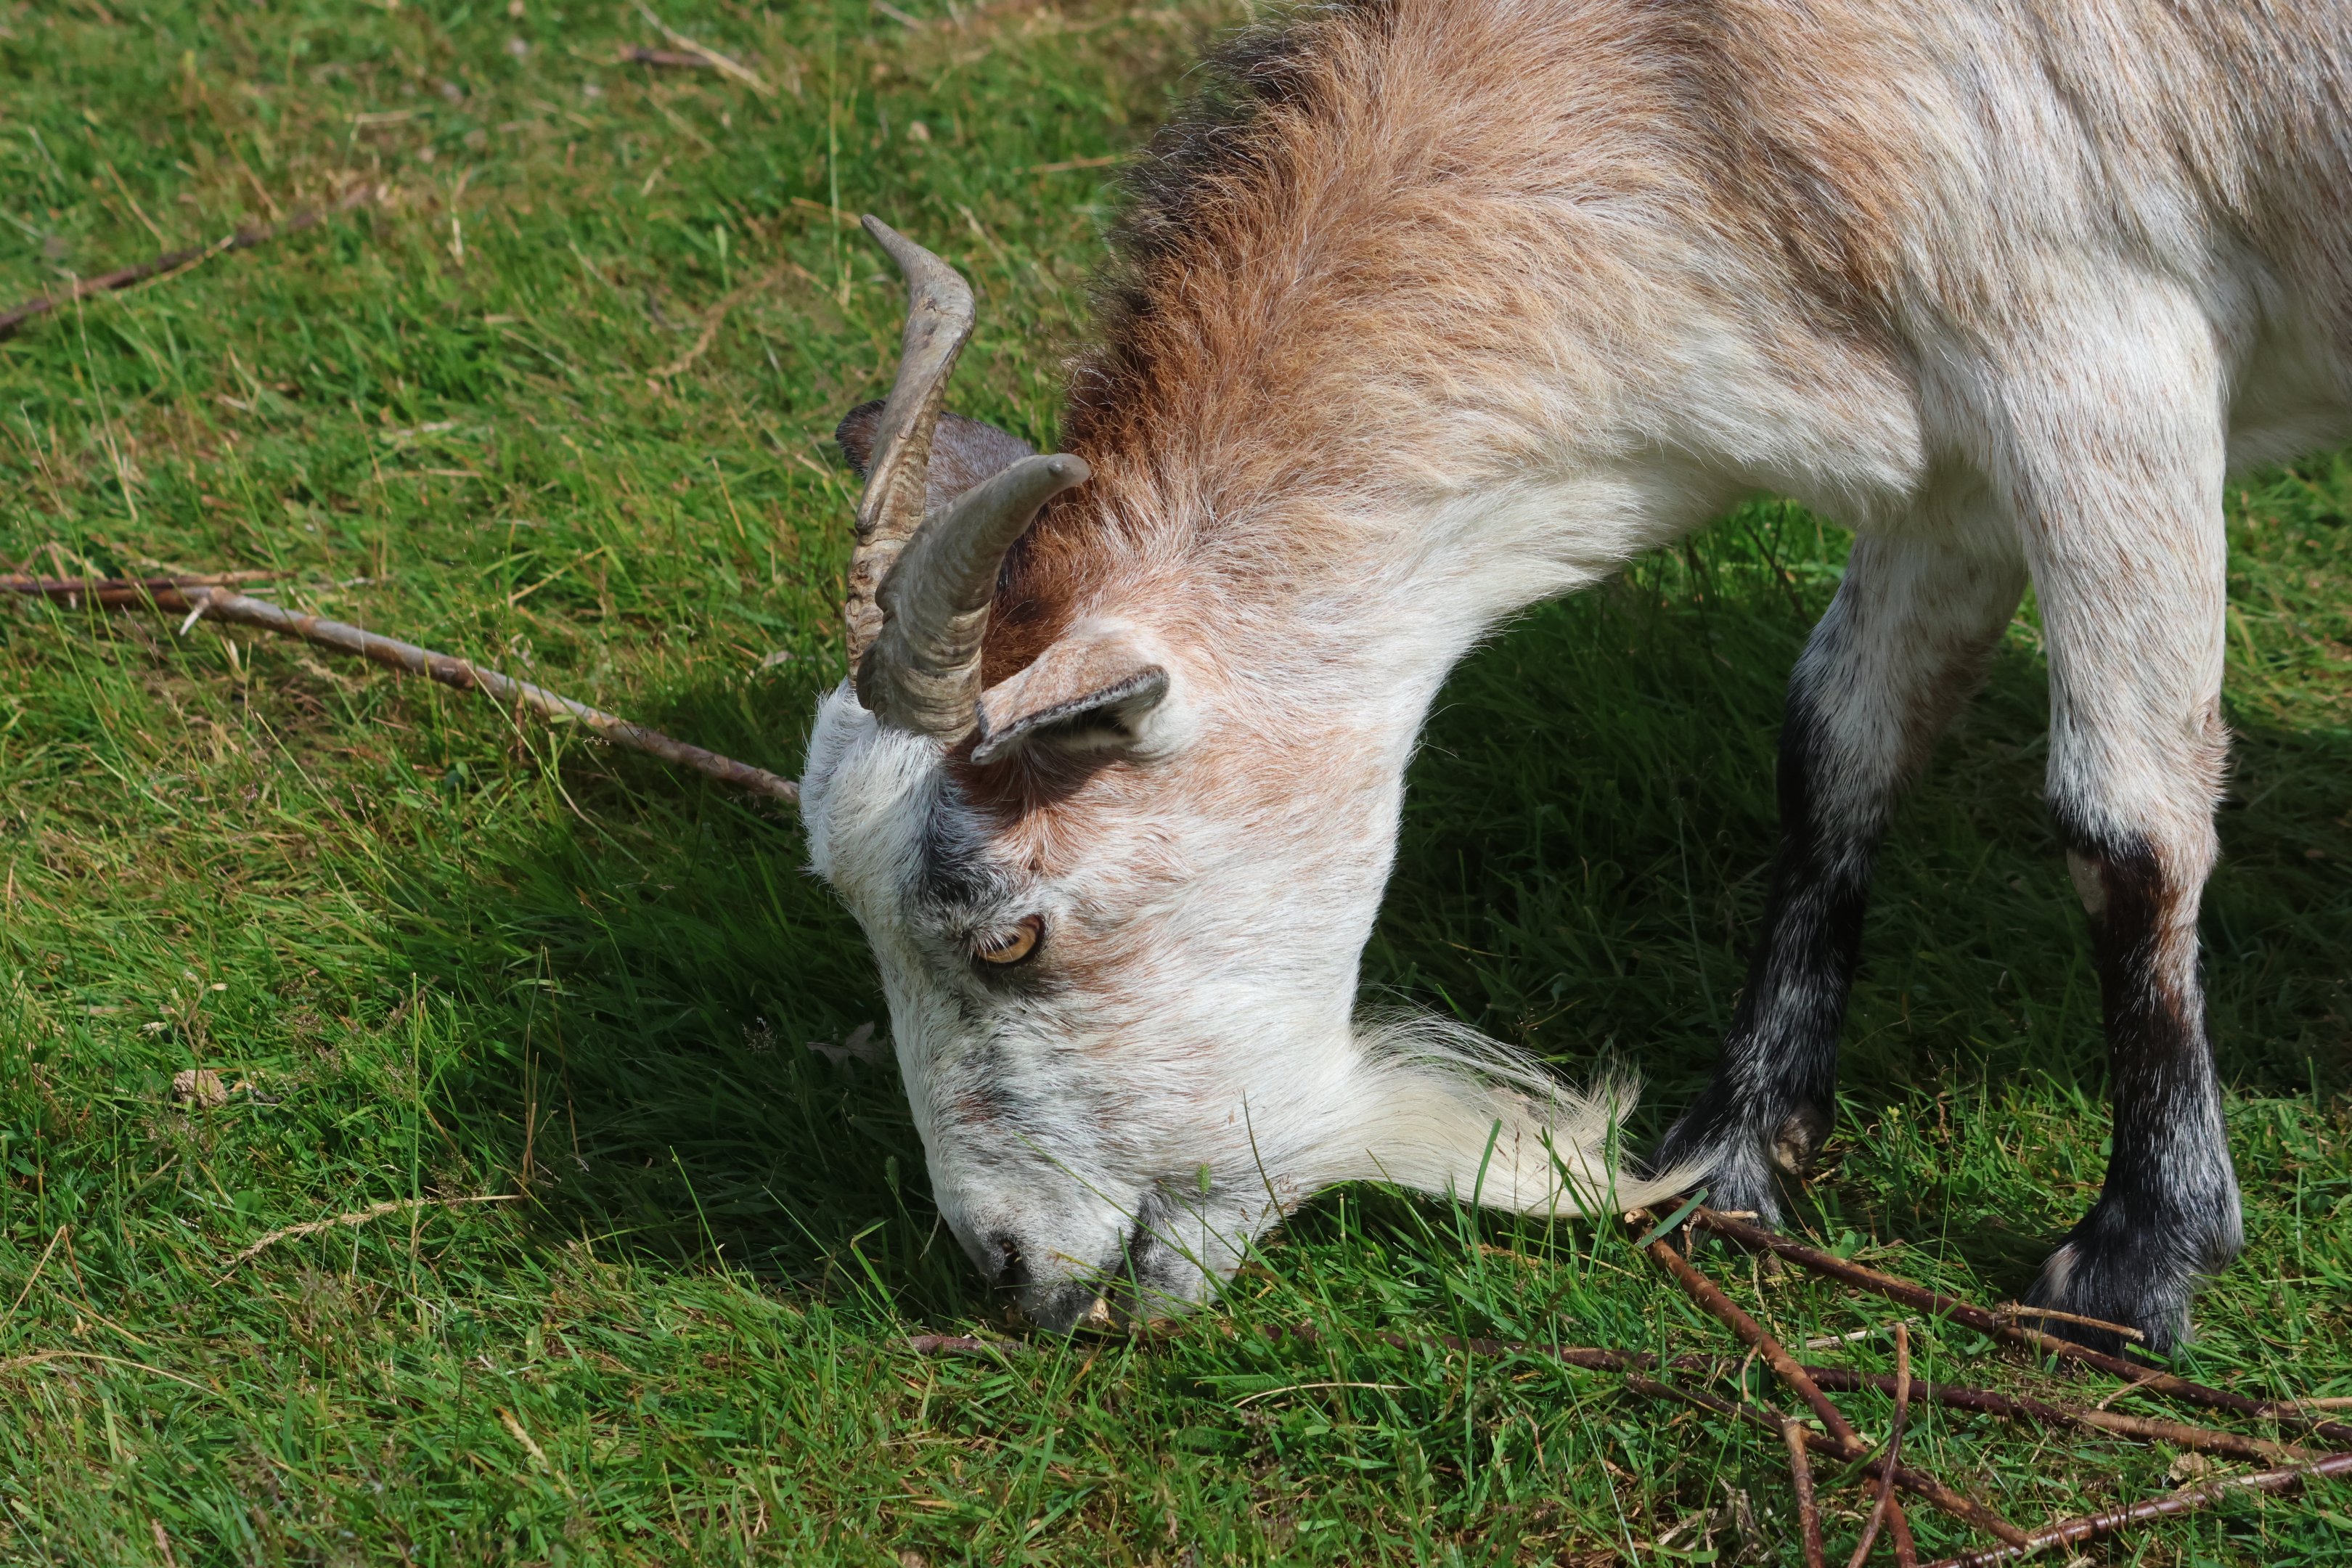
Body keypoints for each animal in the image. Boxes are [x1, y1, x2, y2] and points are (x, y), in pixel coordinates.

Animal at [798, 0, 2352, 1350]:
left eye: (1010, 937)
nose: (1012, 1271)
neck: (1696, 84)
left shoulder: (2097, 354)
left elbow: (2123, 826)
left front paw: (2137, 1261)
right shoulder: (1945, 447)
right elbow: (1837, 748)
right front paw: (1736, 1157)